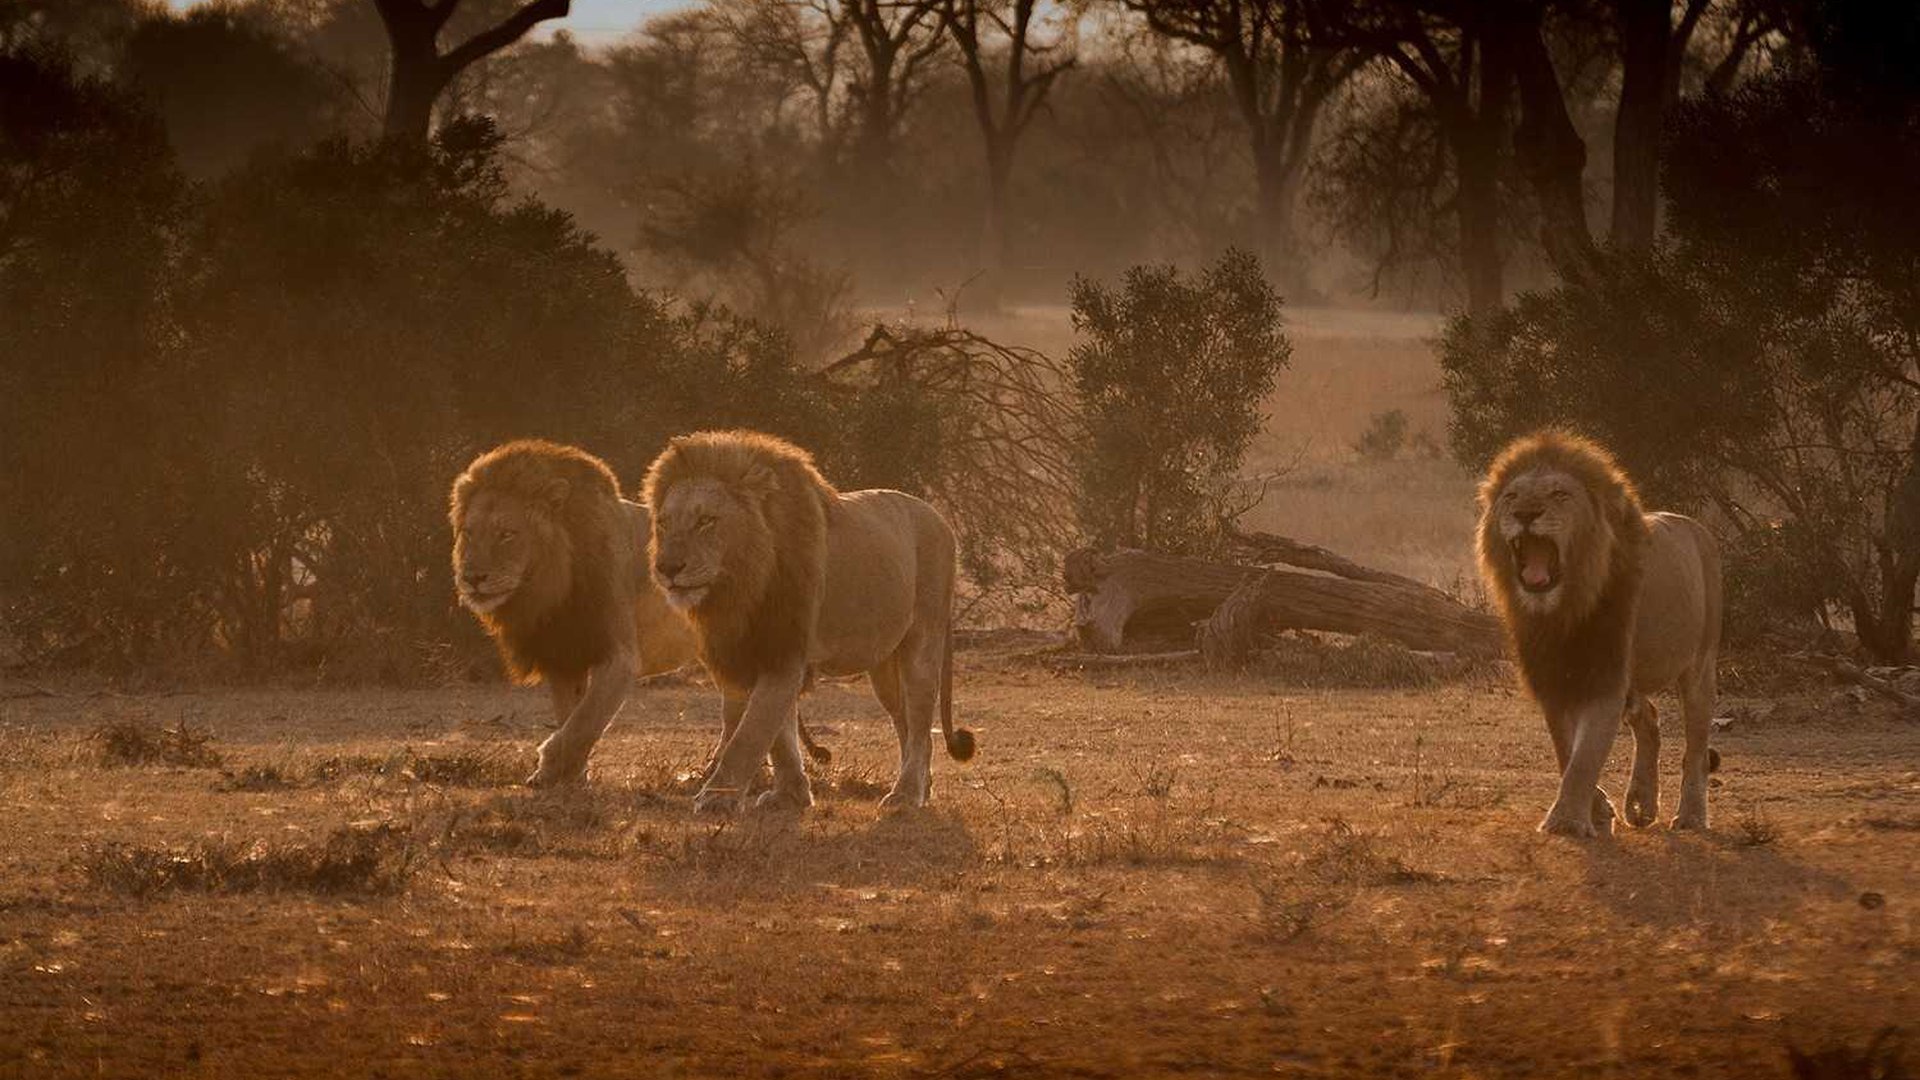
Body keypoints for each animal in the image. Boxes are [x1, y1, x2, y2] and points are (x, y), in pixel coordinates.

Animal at [644, 429, 976, 814]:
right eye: (663, 523)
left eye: (706, 521)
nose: (667, 568)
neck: (739, 588)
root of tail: (941, 520)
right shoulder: (751, 651)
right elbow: (779, 733)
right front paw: (790, 795)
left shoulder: (786, 650)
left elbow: (752, 731)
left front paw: (716, 797)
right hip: (884, 668)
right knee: (907, 724)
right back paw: (922, 787)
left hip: (922, 641)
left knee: (922, 723)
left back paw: (906, 795)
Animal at [1476, 430, 1723, 837]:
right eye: (1511, 496)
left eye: (1560, 494)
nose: (1525, 514)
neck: (1563, 610)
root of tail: (1697, 527)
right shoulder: (1555, 679)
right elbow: (1566, 750)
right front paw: (1598, 809)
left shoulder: (1605, 675)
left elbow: (1585, 755)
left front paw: (1565, 822)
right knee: (1649, 718)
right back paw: (1640, 804)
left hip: (1700, 664)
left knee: (1696, 747)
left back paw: (1690, 816)